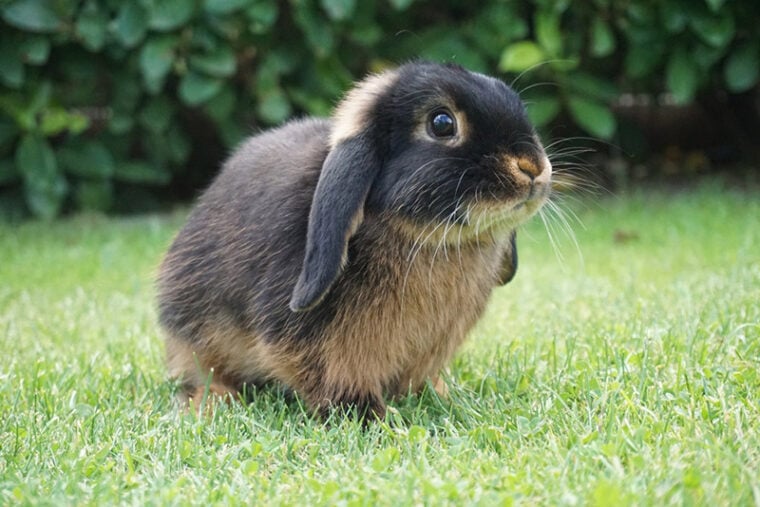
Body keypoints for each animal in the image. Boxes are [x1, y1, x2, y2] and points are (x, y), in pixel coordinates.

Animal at [157, 62, 552, 419]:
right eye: (442, 123)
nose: (533, 167)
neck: (425, 236)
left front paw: (440, 396)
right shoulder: (314, 342)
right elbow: (329, 376)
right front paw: (371, 417)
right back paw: (212, 403)